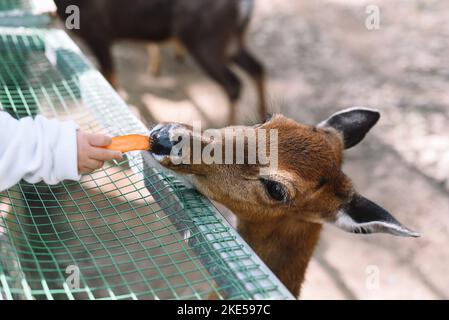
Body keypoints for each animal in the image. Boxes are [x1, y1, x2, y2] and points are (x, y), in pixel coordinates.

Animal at [55, 0, 266, 124]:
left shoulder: (99, 35)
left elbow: (110, 80)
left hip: (205, 40)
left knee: (233, 83)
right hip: (230, 42)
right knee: (257, 68)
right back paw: (262, 116)